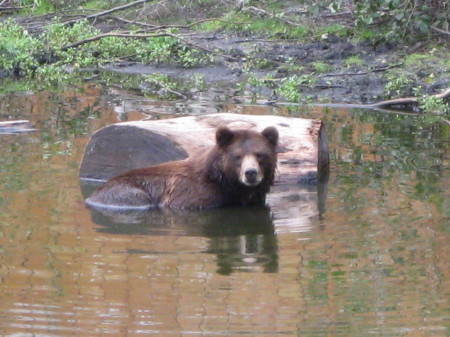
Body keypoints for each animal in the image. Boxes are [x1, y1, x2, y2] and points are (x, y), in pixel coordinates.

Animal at [85, 126, 278, 209]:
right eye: (237, 156)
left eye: (260, 154)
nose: (250, 173)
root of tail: (91, 196)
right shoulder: (192, 195)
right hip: (126, 194)